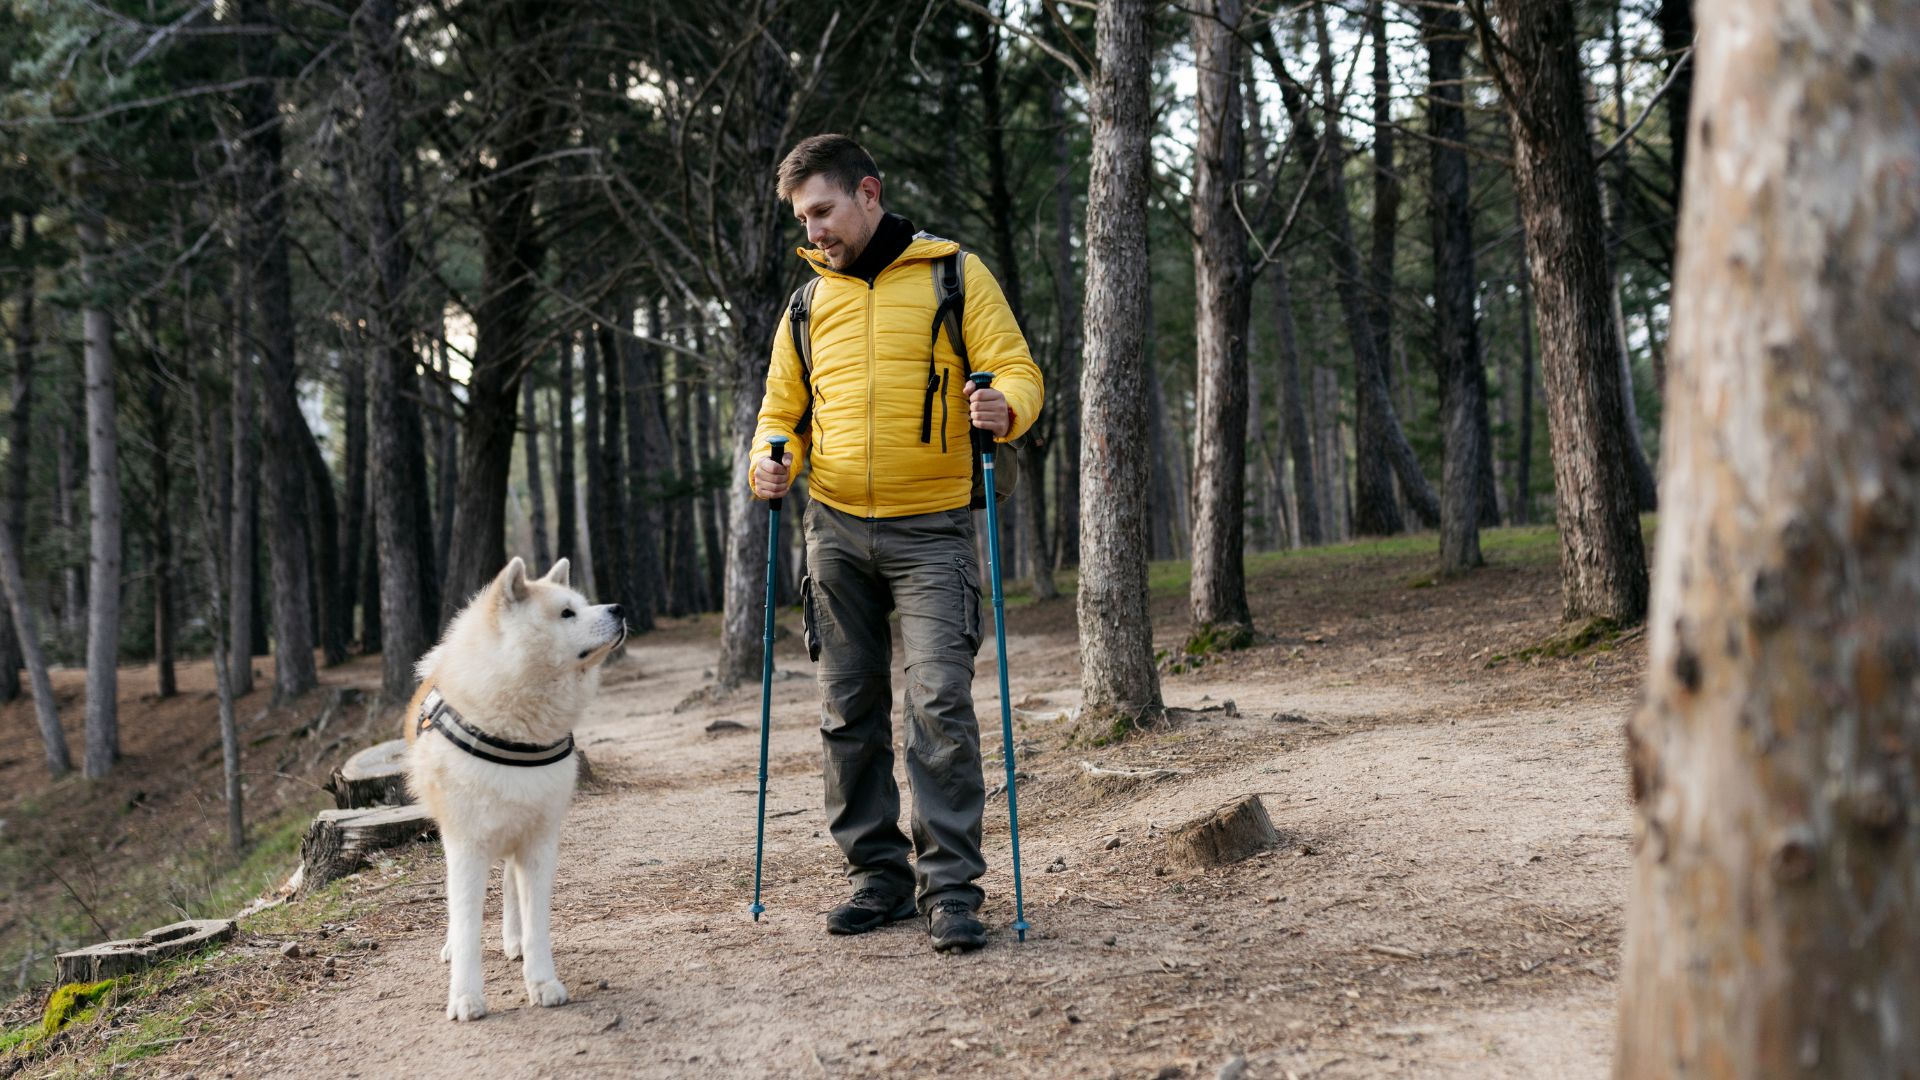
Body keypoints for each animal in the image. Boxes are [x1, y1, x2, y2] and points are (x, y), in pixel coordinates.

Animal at [407, 553, 629, 1014]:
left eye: (584, 603)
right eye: (567, 613)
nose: (618, 609)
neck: (514, 732)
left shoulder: (540, 842)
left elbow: (536, 920)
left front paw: (541, 980)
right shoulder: (467, 845)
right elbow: (466, 922)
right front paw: (466, 995)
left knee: (510, 885)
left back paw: (514, 941)